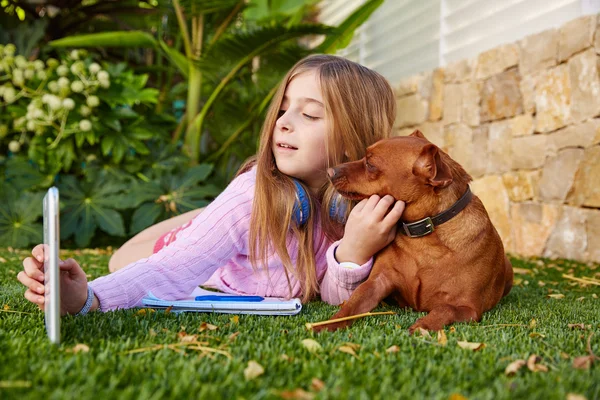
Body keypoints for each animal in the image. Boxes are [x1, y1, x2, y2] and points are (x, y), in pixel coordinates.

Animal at [316, 130, 512, 332]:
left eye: (370, 164)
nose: (329, 171)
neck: (423, 239)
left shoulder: (469, 308)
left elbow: (445, 308)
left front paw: (424, 325)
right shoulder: (377, 282)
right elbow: (353, 302)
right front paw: (327, 324)